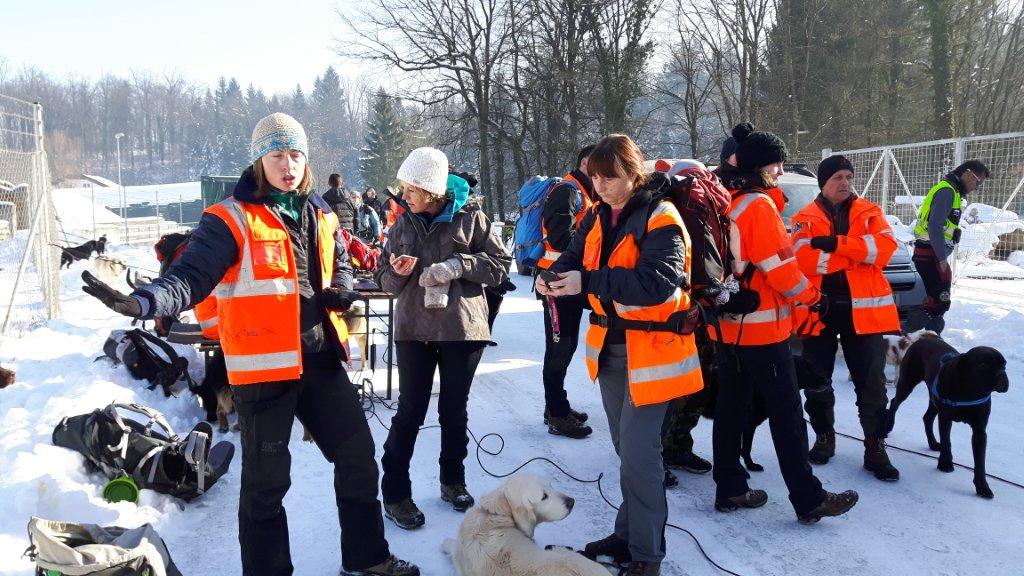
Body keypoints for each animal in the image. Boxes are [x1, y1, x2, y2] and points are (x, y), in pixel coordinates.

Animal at [884, 334, 1011, 496]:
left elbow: (980, 461)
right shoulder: (945, 419)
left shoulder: (980, 431)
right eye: (983, 364)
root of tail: (921, 340)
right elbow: (947, 441)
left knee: (927, 417)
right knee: (895, 402)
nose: (1001, 374)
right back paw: (888, 425)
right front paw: (945, 463)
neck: (970, 391)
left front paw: (982, 486)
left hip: (934, 398)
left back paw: (932, 443)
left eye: (1004, 365)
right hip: (907, 382)